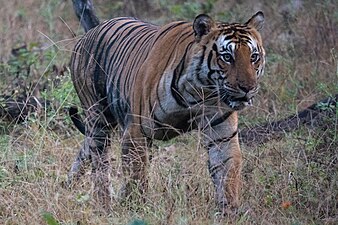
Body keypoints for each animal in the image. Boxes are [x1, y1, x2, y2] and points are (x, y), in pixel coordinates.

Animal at [67, 0, 266, 214]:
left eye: (254, 57)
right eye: (227, 57)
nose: (248, 88)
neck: (200, 92)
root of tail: (96, 27)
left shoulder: (222, 133)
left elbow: (227, 171)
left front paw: (228, 211)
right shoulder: (136, 131)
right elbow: (136, 176)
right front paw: (134, 209)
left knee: (85, 150)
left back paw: (67, 184)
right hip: (98, 118)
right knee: (100, 163)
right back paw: (104, 203)